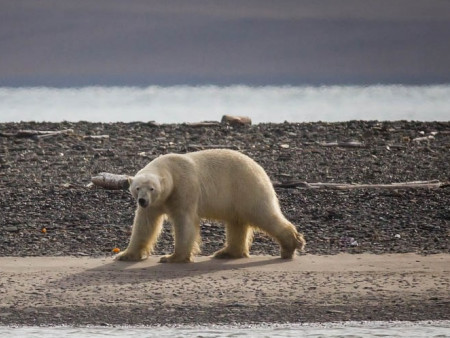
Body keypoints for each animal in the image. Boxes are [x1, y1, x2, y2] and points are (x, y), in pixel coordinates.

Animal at [116, 149, 306, 262]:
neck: (169, 169)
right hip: (237, 196)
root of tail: (261, 169)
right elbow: (145, 224)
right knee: (237, 222)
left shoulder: (184, 188)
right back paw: (227, 252)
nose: (142, 200)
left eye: (152, 188)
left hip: (246, 187)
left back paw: (290, 245)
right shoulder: (156, 204)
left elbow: (184, 222)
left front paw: (172, 257)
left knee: (263, 214)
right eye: (137, 188)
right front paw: (125, 255)